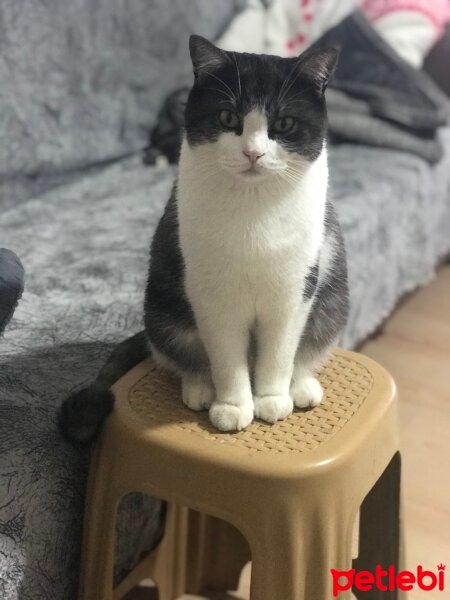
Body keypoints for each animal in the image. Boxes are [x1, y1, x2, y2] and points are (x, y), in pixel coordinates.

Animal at [59, 35, 348, 442]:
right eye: (228, 118)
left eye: (284, 123)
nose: (253, 152)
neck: (253, 206)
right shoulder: (212, 294)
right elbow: (226, 356)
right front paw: (233, 406)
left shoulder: (294, 290)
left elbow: (279, 352)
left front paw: (271, 399)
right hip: (162, 308)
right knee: (184, 355)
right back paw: (199, 388)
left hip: (331, 304)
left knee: (305, 348)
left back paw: (300, 385)